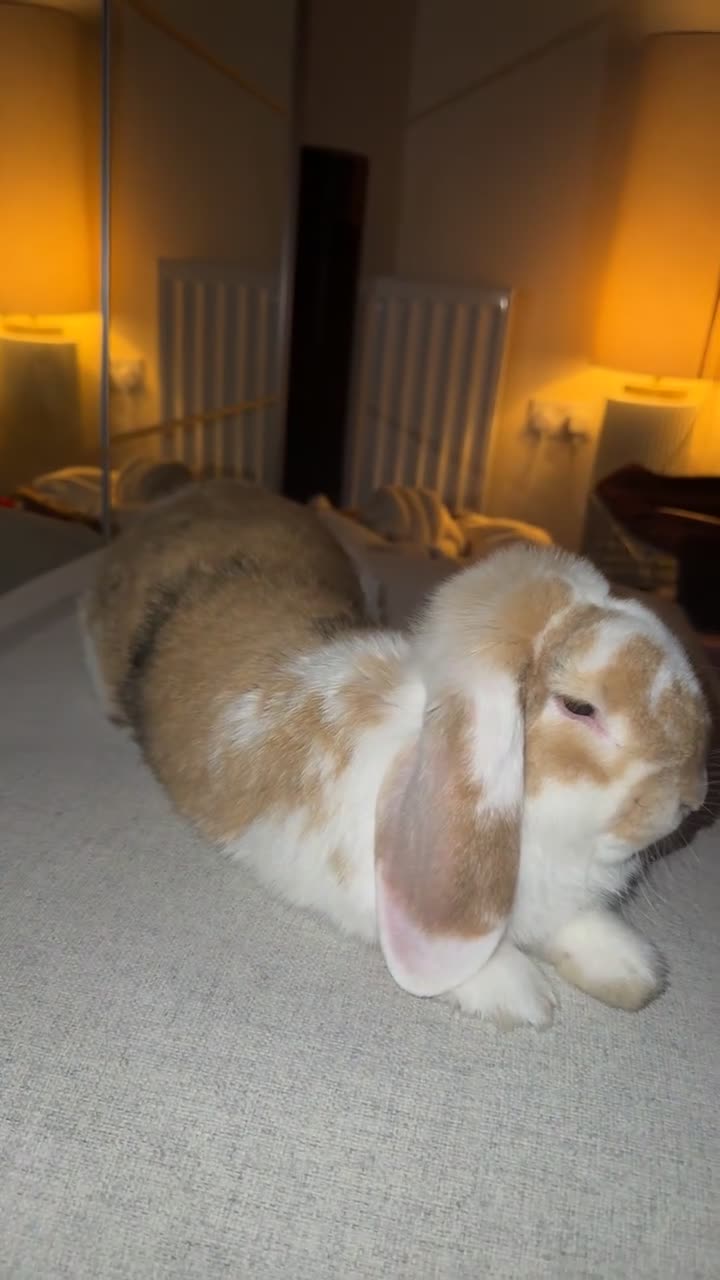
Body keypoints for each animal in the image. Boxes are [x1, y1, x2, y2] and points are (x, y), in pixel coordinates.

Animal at [81, 479, 710, 1030]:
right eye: (580, 707)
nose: (692, 797)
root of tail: (183, 498)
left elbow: (577, 927)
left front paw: (635, 972)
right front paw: (523, 998)